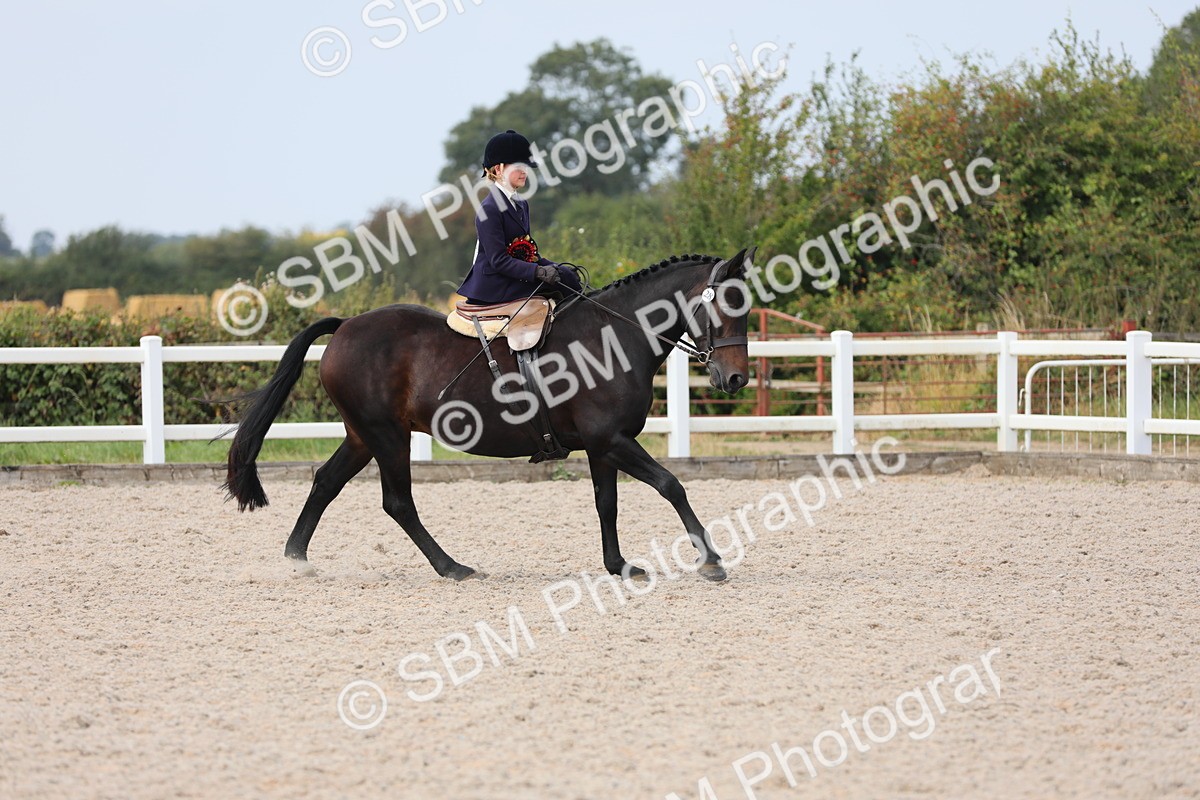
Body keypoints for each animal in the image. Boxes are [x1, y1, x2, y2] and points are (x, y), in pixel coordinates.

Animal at [222, 248, 754, 582]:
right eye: (724, 306)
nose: (735, 380)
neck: (613, 336)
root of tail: (347, 324)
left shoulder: (603, 444)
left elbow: (608, 504)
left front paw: (618, 565)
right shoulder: (613, 440)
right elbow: (671, 485)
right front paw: (711, 560)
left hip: (362, 436)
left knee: (326, 482)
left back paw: (297, 559)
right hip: (387, 436)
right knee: (398, 502)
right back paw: (452, 567)